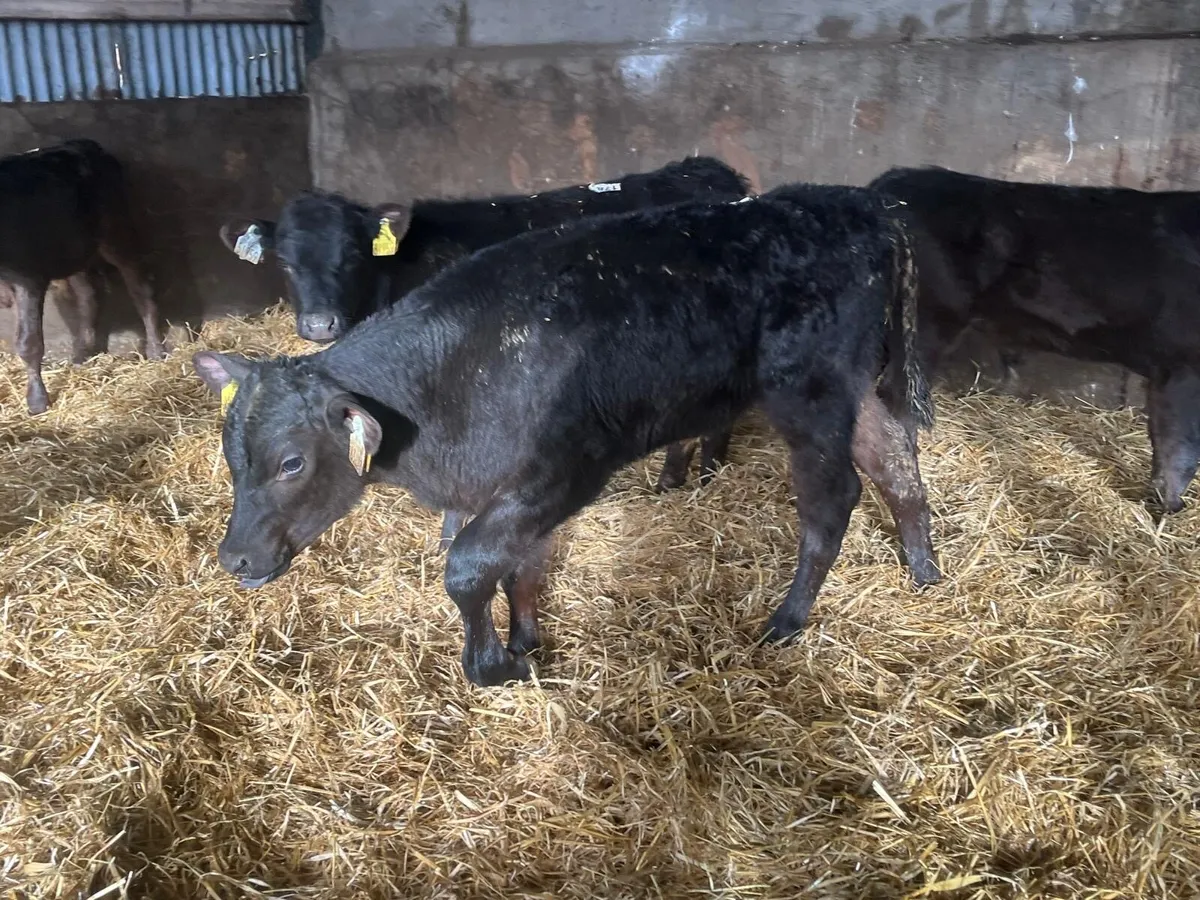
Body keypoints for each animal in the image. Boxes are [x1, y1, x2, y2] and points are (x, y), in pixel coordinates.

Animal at [0, 139, 164, 414]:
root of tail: (84, 144)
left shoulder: (28, 278)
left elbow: (29, 342)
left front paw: (37, 400)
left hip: (116, 231)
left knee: (140, 286)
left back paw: (157, 350)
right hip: (74, 251)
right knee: (89, 295)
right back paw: (81, 354)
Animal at [193, 184, 939, 687]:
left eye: (291, 463)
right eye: (232, 458)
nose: (233, 558)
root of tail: (859, 203)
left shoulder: (562, 471)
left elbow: (468, 568)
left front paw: (493, 664)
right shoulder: (505, 489)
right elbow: (518, 567)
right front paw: (525, 639)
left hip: (810, 395)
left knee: (834, 497)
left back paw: (787, 620)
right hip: (859, 388)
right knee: (898, 466)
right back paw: (924, 573)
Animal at [870, 165, 1200, 513]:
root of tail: (897, 180)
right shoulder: (1183, 365)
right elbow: (1179, 447)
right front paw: (1169, 506)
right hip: (927, 324)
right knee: (897, 398)